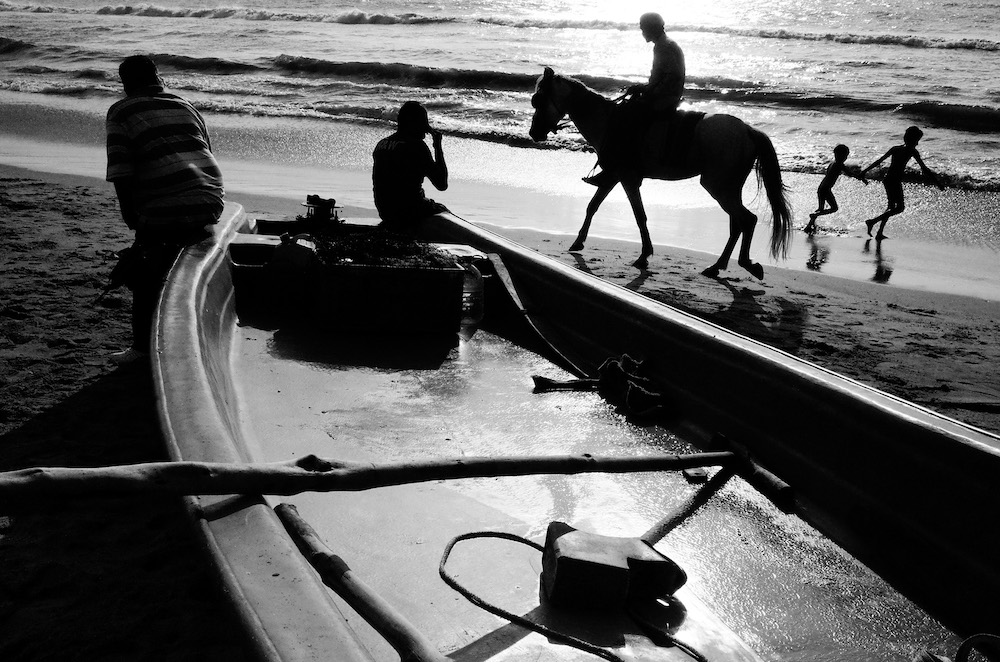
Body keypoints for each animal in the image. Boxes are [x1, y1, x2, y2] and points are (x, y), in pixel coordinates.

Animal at [528, 65, 792, 278]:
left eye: (538, 100)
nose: (534, 133)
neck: (609, 121)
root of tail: (747, 129)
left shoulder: (626, 177)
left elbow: (639, 215)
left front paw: (644, 255)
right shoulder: (613, 176)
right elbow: (592, 206)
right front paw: (578, 242)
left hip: (718, 186)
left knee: (746, 220)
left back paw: (745, 264)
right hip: (729, 187)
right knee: (738, 223)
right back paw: (717, 266)